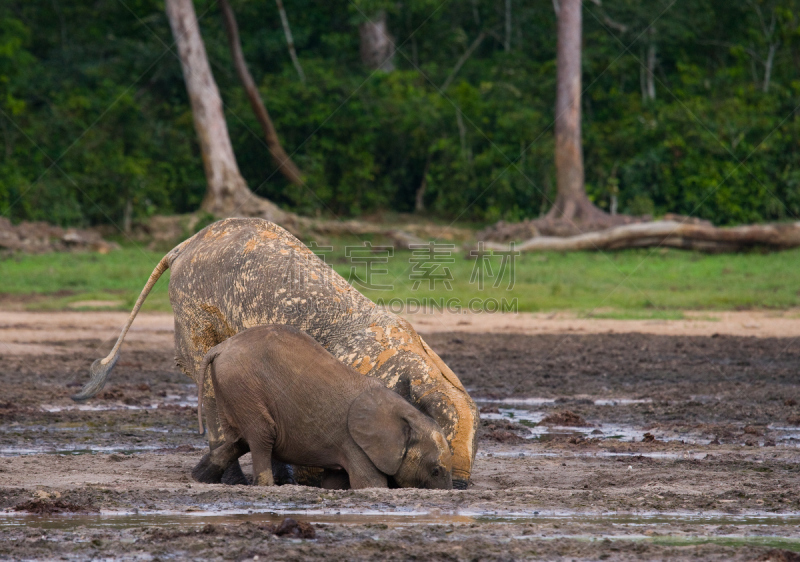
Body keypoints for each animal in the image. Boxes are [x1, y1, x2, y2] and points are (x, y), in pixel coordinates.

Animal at [193, 322, 454, 488]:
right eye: (435, 470)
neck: (406, 413)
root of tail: (219, 347)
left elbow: (334, 482)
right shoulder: (355, 444)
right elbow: (370, 484)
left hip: (232, 388)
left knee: (239, 441)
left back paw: (199, 478)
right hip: (243, 384)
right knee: (262, 436)